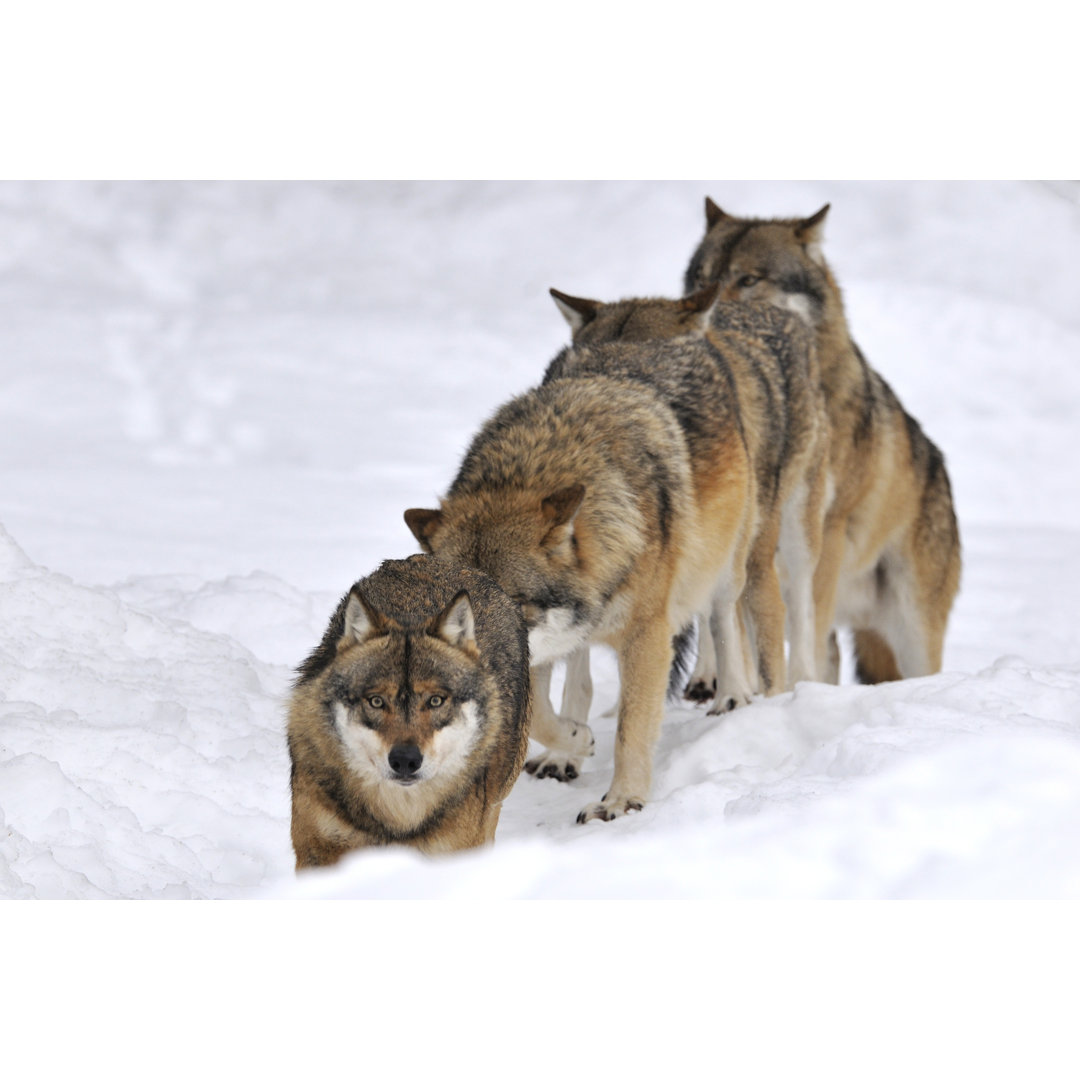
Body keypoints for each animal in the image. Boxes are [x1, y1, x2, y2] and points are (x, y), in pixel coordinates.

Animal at [282, 557, 527, 868]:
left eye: (436, 701)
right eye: (376, 701)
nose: (406, 760)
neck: (399, 817)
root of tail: (443, 563)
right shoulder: (317, 851)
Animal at [403, 375, 751, 820]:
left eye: (507, 604)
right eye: (456, 613)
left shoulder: (646, 636)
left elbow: (631, 728)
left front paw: (621, 800)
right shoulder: (536, 651)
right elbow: (540, 717)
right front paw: (576, 738)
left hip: (724, 561)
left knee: (723, 617)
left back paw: (733, 696)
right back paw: (564, 754)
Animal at [548, 282, 825, 699]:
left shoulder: (756, 562)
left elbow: (767, 636)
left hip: (793, 532)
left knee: (799, 606)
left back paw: (800, 681)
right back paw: (709, 677)